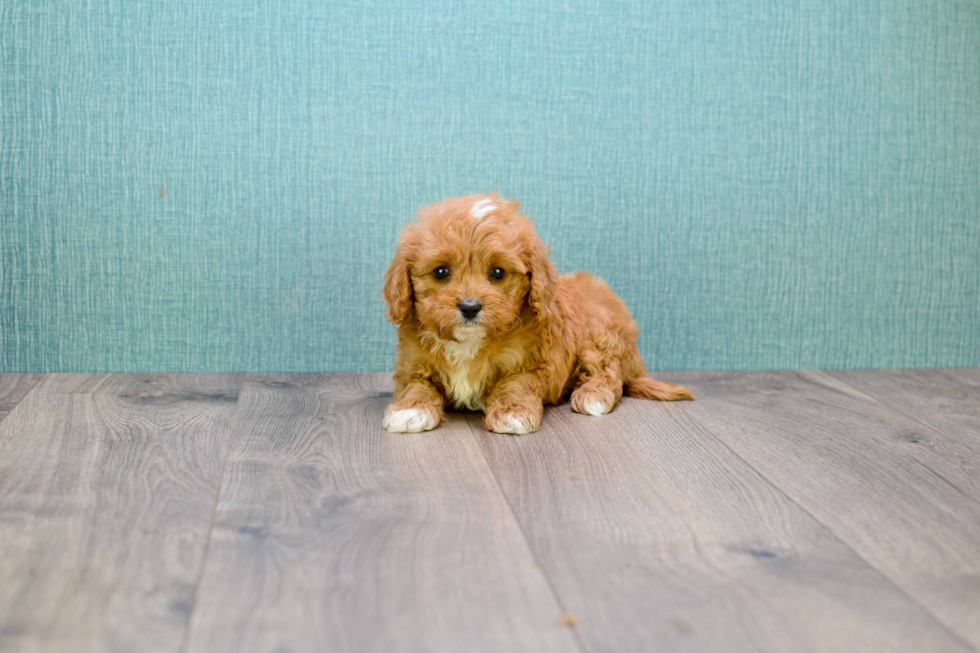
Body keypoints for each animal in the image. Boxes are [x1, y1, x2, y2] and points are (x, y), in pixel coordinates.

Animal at [378, 191, 692, 432]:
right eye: (440, 272)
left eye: (497, 272)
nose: (470, 307)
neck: (469, 341)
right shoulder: (412, 365)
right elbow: (416, 385)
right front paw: (410, 410)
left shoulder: (529, 362)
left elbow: (516, 384)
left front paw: (512, 412)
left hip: (599, 335)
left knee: (609, 372)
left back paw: (593, 396)